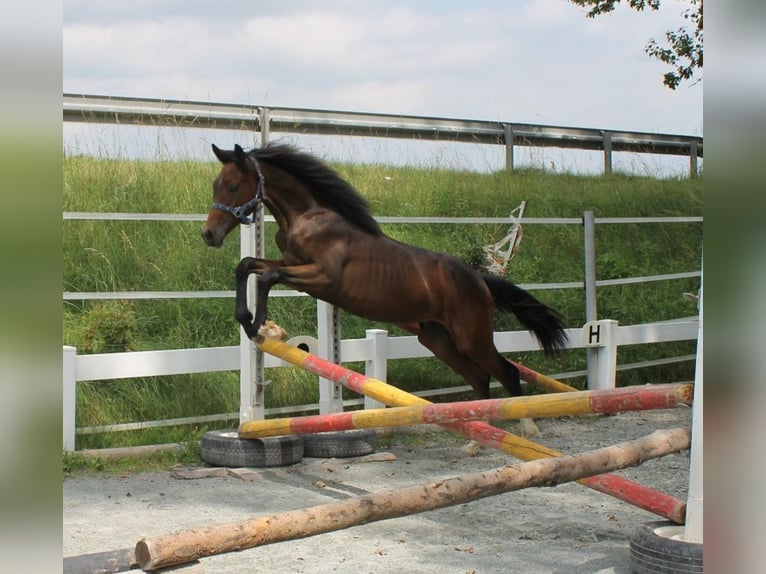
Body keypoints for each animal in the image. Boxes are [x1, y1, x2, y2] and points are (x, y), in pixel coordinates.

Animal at [201, 144, 568, 436]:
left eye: (233, 186)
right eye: (216, 185)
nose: (209, 235)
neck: (307, 216)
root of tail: (480, 280)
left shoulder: (323, 278)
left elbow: (267, 276)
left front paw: (259, 326)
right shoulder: (293, 263)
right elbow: (248, 265)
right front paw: (250, 320)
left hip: (471, 337)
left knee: (506, 371)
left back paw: (527, 428)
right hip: (437, 339)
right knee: (480, 379)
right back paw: (477, 439)